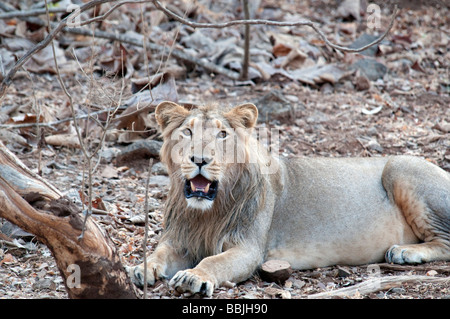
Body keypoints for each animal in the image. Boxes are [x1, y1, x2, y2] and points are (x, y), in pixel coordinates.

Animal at [128, 102, 448, 298]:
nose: (199, 159)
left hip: (399, 165)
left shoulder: (249, 249)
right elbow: (158, 253)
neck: (206, 212)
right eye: (187, 131)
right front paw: (141, 268)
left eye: (222, 134)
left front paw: (194, 276)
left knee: (445, 241)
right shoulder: (180, 240)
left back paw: (404, 252)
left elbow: (214, 260)